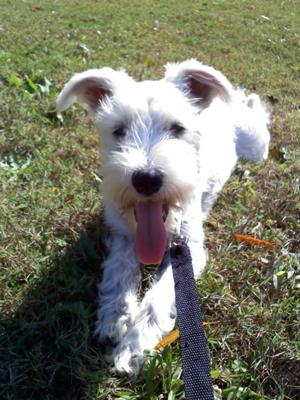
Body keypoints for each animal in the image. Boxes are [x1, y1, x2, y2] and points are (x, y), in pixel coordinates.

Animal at [56, 59, 270, 376]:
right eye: (119, 130)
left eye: (177, 127)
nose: (146, 179)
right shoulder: (122, 236)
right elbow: (119, 271)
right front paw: (115, 317)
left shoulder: (189, 249)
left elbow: (159, 296)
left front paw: (133, 346)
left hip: (257, 144)